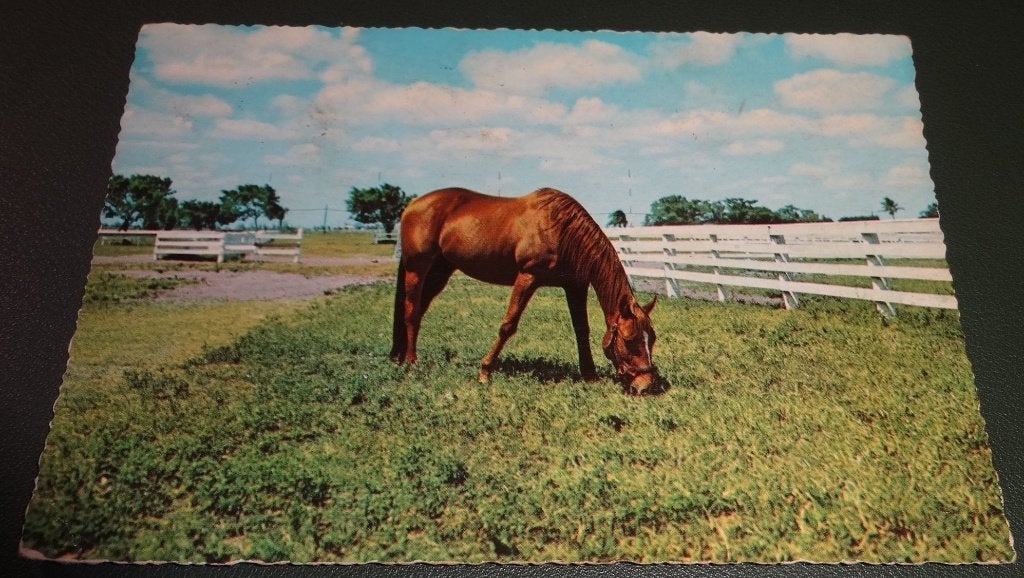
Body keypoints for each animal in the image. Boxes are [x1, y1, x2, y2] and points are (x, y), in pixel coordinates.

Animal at [390, 187, 658, 394]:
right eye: (630, 340)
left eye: (652, 339)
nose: (645, 385)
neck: (561, 230)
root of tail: (413, 205)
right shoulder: (528, 278)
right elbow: (508, 325)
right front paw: (484, 372)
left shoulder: (575, 286)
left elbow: (582, 330)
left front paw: (589, 374)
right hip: (417, 268)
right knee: (411, 312)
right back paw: (411, 363)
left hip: (440, 271)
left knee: (418, 310)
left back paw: (400, 357)